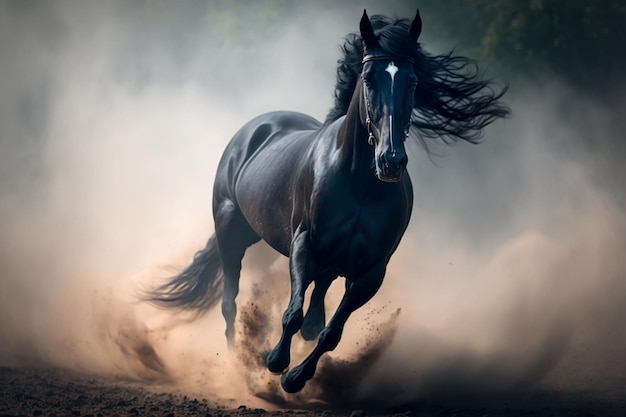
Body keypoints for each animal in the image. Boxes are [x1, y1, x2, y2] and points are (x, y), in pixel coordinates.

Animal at [146, 10, 508, 394]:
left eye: (412, 81)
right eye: (369, 78)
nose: (391, 161)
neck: (361, 186)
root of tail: (251, 132)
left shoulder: (370, 272)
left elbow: (331, 332)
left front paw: (294, 378)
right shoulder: (305, 244)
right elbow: (293, 315)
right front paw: (275, 361)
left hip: (318, 260)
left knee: (313, 308)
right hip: (232, 232)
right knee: (230, 302)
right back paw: (235, 366)